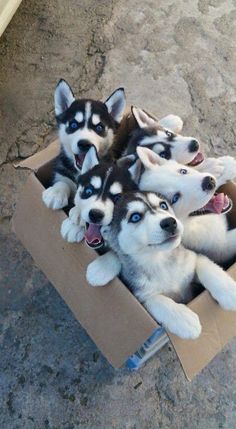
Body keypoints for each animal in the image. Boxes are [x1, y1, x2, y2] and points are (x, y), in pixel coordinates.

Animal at [42, 79, 127, 210]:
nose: (84, 144)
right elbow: (62, 181)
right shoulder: (61, 173)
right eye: (73, 125)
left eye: (99, 127)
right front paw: (56, 192)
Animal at [91, 192, 236, 340]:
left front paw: (229, 291)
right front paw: (184, 320)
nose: (170, 222)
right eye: (135, 217)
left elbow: (206, 266)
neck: (160, 261)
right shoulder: (141, 295)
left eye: (163, 205)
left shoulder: (192, 257)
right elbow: (157, 301)